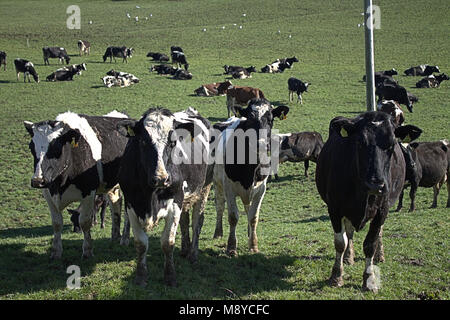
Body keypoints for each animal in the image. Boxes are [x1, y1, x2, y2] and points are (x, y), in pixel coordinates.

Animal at [23, 110, 130, 260]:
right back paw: (115, 236)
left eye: (56, 147)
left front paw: (87, 251)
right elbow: (56, 223)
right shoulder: (48, 193)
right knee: (116, 203)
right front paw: (55, 252)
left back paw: (125, 239)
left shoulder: (89, 192)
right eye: (31, 147)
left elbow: (84, 222)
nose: (38, 180)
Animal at [212, 99, 290, 255]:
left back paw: (249, 233)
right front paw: (231, 247)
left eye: (271, 119)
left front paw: (253, 245)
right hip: (217, 183)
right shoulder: (229, 188)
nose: (261, 144)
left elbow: (253, 217)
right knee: (220, 206)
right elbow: (233, 216)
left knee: (247, 210)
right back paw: (218, 232)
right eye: (249, 119)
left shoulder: (260, 190)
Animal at [316, 110, 422, 292]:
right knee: (349, 232)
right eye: (359, 142)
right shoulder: (335, 208)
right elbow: (340, 242)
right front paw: (336, 275)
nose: (375, 184)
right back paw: (348, 257)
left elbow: (370, 244)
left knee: (378, 232)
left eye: (392, 144)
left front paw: (369, 279)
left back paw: (380, 255)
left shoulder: (382, 210)